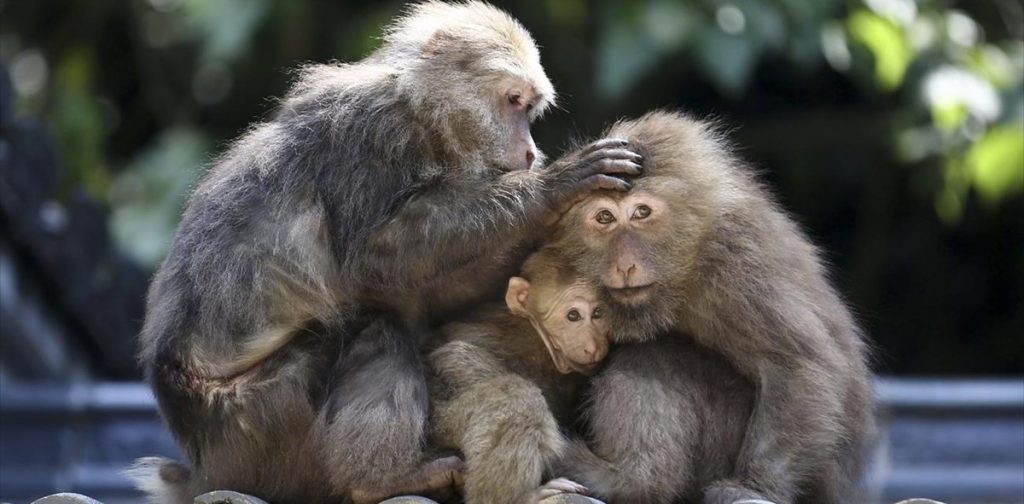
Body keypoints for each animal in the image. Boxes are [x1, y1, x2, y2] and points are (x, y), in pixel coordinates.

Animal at [425, 248, 606, 504]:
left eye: (599, 313)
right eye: (573, 316)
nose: (592, 346)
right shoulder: (525, 341)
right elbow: (453, 356)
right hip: (437, 427)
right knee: (516, 397)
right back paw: (519, 496)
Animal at [548, 112, 876, 504]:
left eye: (642, 212)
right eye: (604, 218)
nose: (625, 265)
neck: (684, 266)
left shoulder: (737, 264)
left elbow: (798, 363)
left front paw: (753, 486)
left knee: (652, 353)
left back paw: (628, 479)